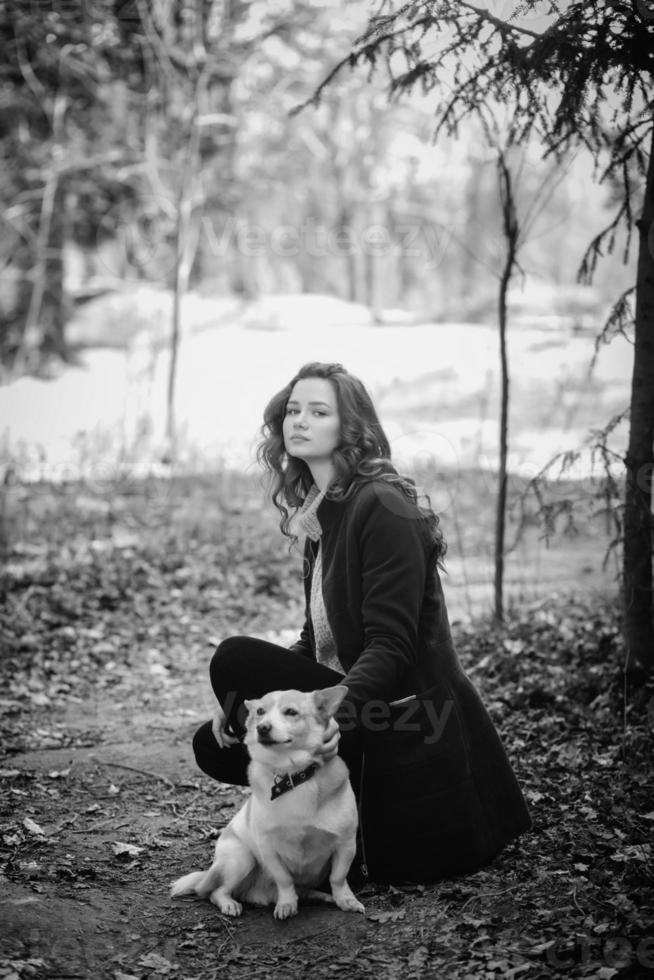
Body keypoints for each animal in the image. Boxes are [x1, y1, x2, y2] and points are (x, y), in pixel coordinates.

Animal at [169, 688, 366, 920]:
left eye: (291, 712)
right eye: (260, 712)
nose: (262, 727)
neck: (291, 774)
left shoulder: (346, 844)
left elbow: (338, 877)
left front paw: (345, 900)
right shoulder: (268, 848)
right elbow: (284, 880)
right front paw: (287, 904)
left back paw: (320, 896)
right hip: (242, 859)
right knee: (215, 892)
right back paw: (230, 904)